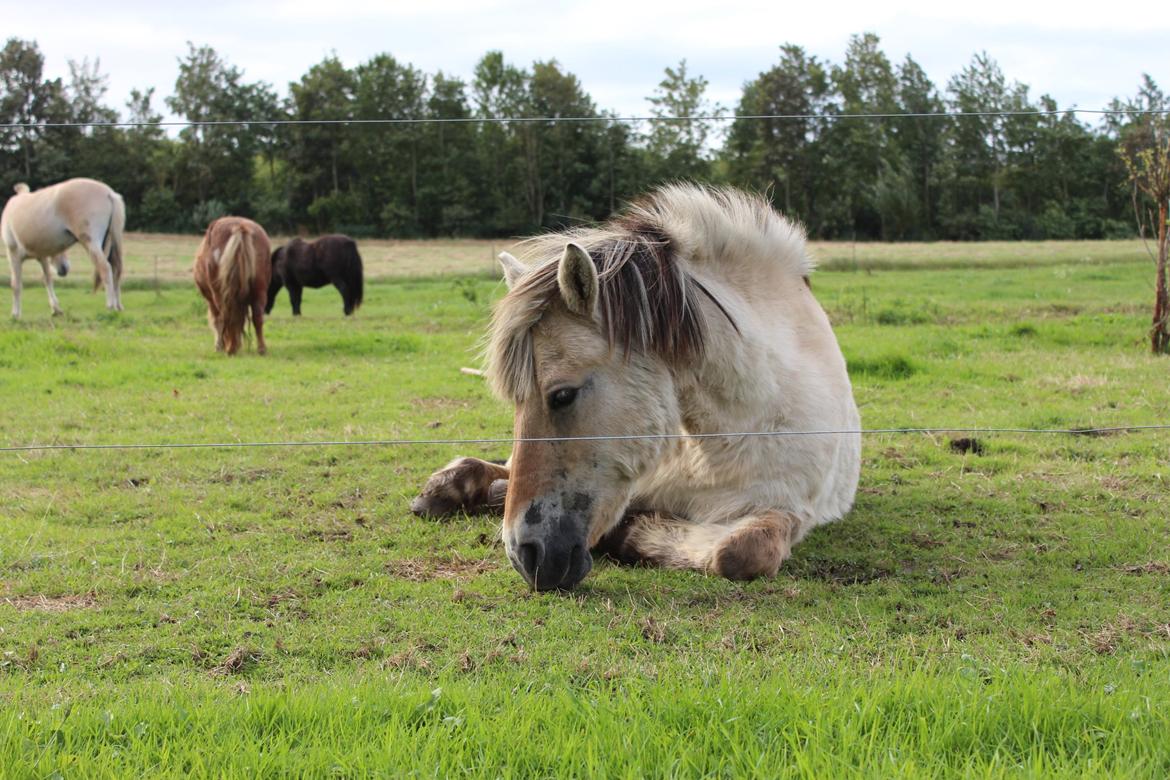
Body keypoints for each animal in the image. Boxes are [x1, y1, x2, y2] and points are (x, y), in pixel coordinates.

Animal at [2, 178, 125, 318]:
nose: (64, 269)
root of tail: (109, 193)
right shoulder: (42, 257)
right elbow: (47, 279)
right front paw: (56, 309)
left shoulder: (13, 254)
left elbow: (16, 284)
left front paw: (15, 314)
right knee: (116, 269)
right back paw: (118, 306)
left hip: (91, 243)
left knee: (105, 269)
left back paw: (110, 306)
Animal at [194, 218, 271, 355]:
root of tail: (239, 226)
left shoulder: (210, 300)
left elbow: (217, 321)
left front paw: (219, 346)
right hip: (260, 289)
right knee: (257, 316)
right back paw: (261, 348)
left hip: (219, 293)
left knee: (225, 316)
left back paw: (231, 348)